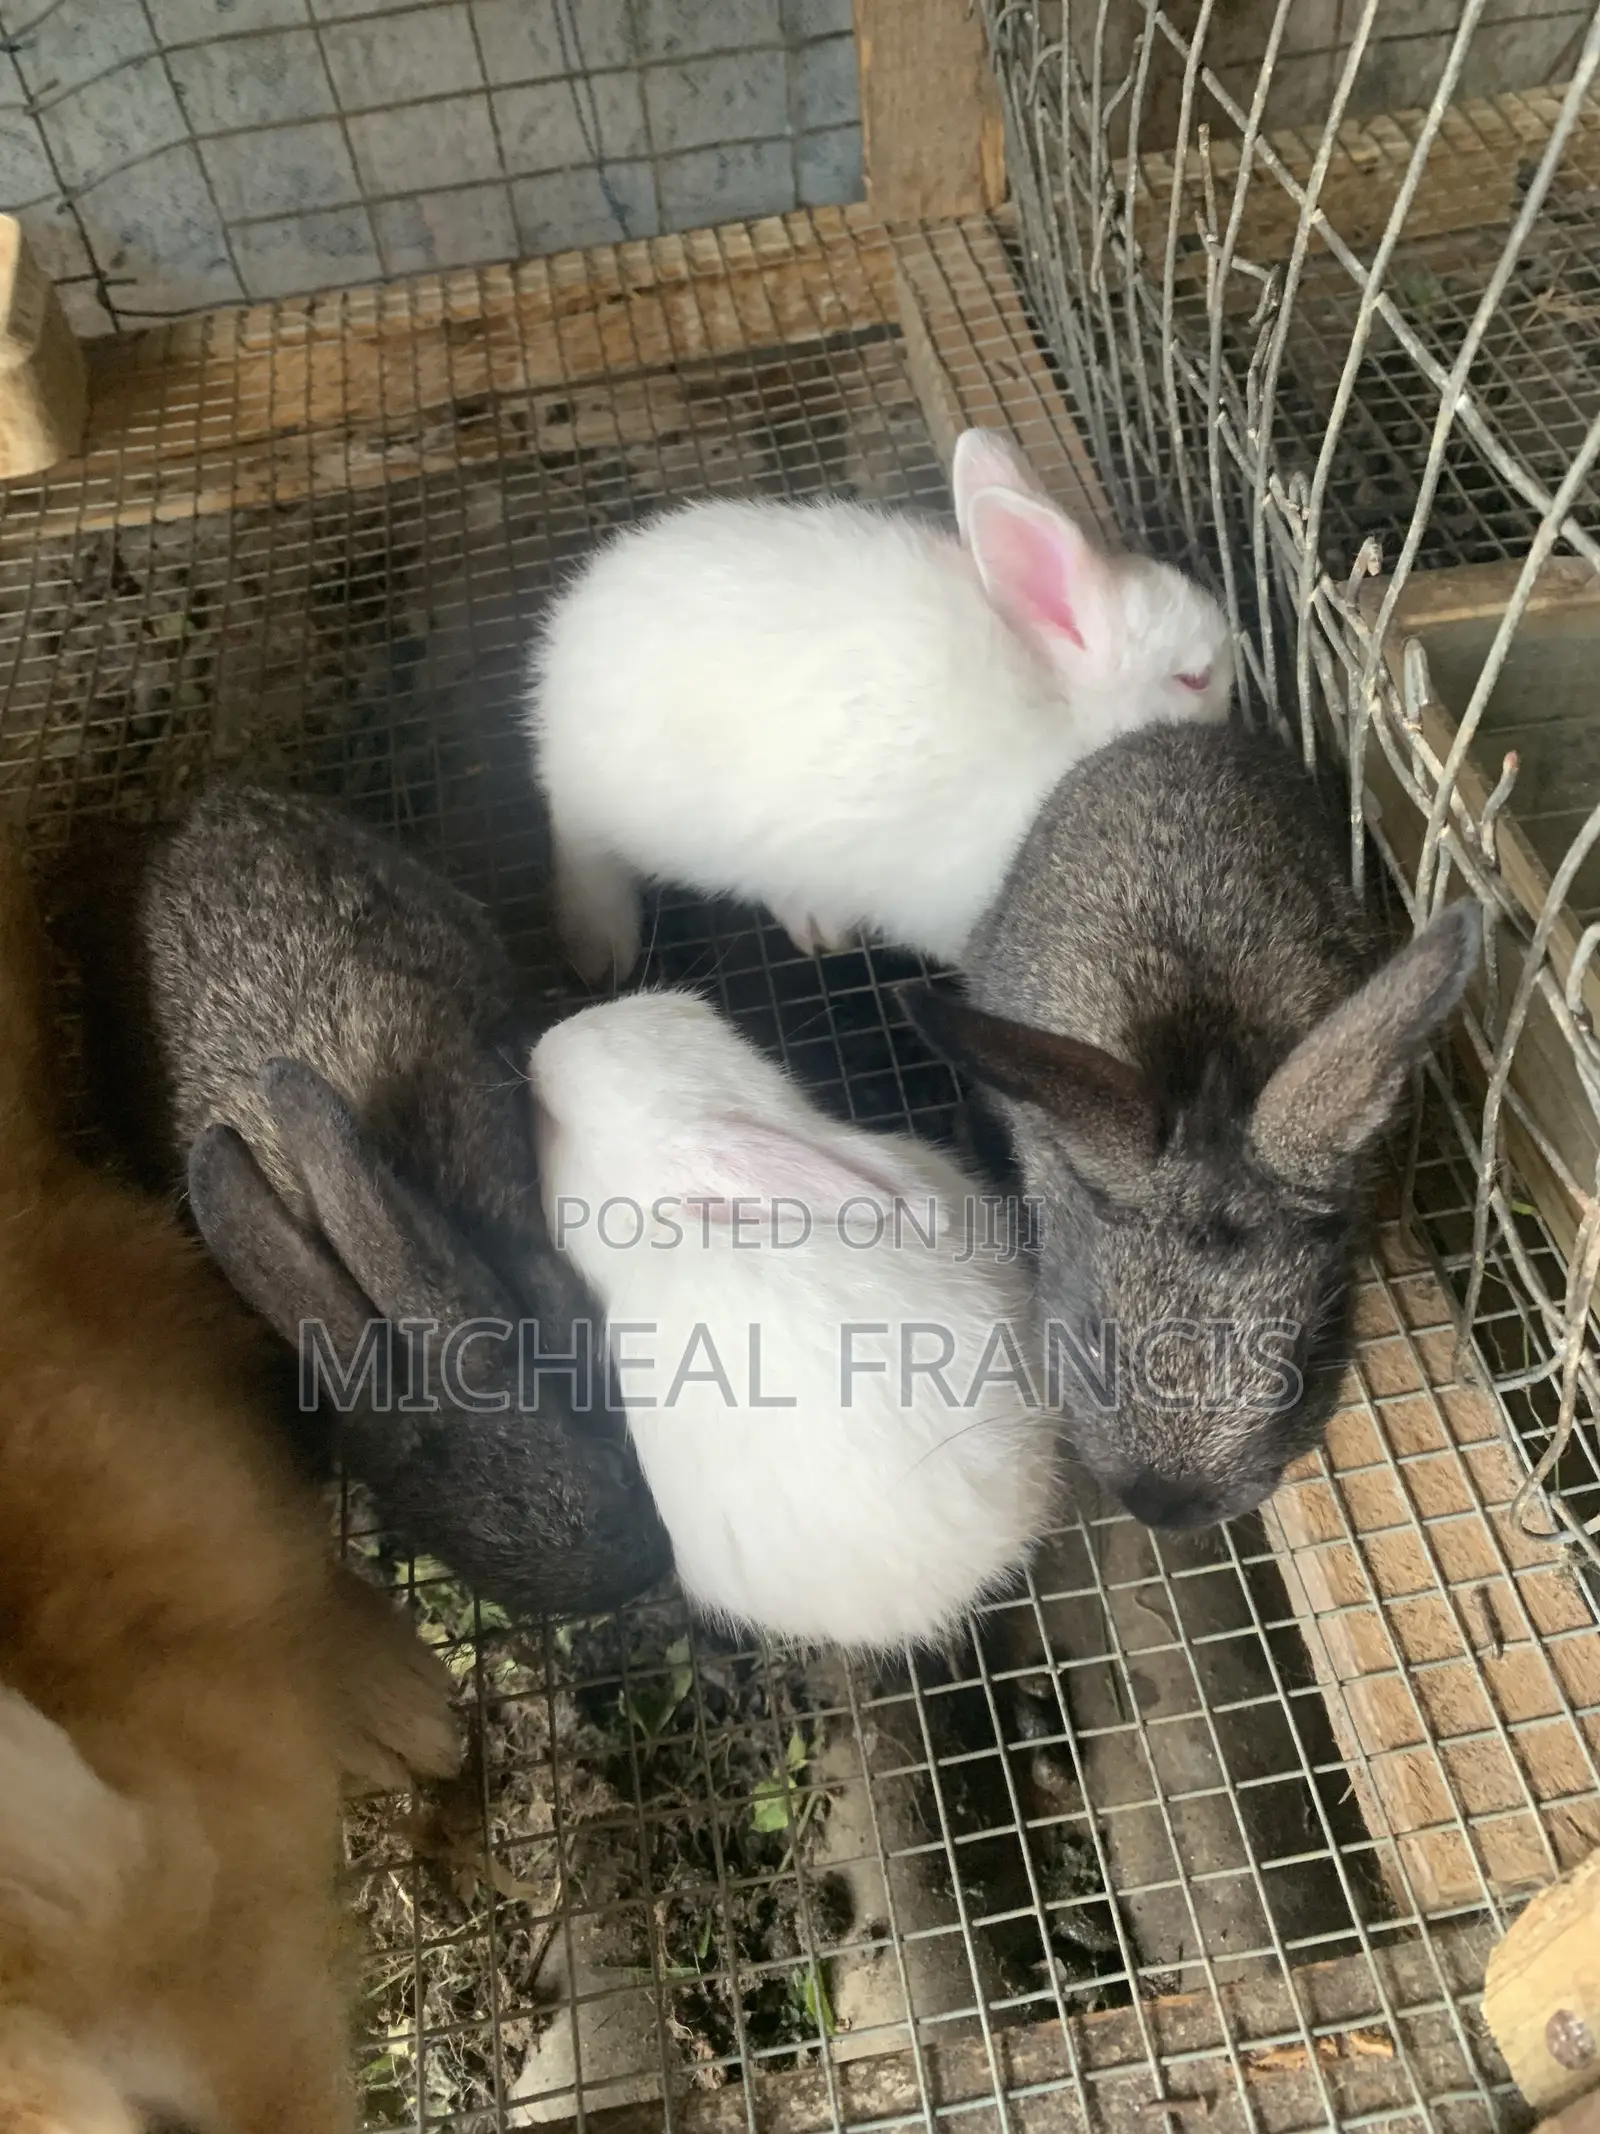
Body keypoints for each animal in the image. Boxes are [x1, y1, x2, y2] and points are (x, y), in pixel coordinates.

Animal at [527, 426, 1235, 986]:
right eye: (1194, 678)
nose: (1231, 694)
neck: (1068, 714)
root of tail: (568, 637)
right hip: (617, 812)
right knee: (579, 845)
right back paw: (599, 948)